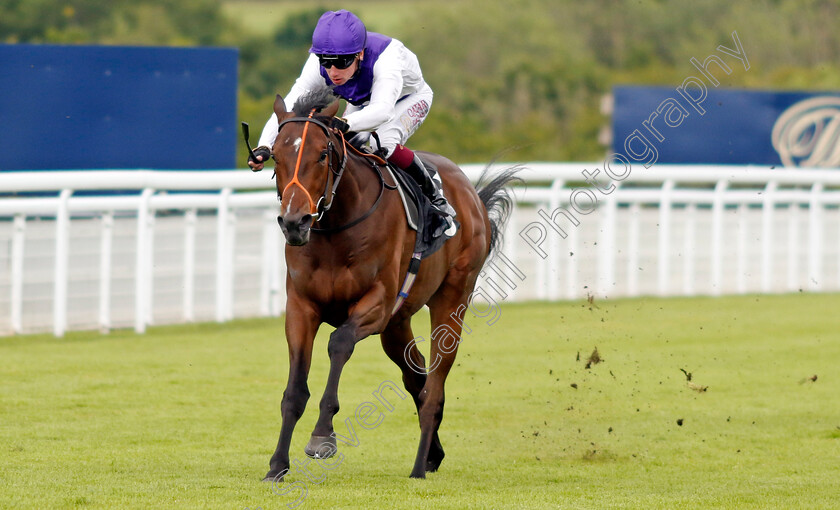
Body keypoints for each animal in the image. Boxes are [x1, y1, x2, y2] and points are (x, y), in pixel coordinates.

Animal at [260, 89, 520, 480]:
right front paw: (277, 465)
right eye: (276, 155)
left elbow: (339, 343)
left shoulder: (378, 303)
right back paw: (432, 455)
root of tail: (469, 193)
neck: (337, 228)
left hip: (452, 299)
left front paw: (322, 436)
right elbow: (294, 390)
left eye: (322, 154)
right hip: (398, 323)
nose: (295, 222)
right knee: (417, 377)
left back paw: (418, 467)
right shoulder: (302, 307)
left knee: (436, 382)